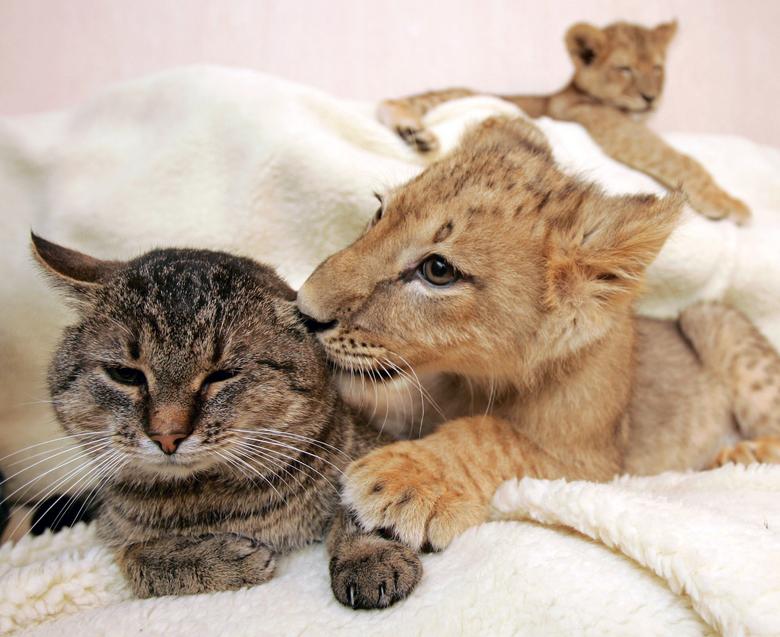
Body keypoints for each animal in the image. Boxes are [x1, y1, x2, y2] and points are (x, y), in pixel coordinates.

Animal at [32, 234, 420, 608]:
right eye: (125, 375)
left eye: (223, 375)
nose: (167, 435)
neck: (213, 501)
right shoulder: (113, 533)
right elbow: (136, 559)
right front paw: (218, 559)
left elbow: (366, 504)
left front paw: (368, 556)